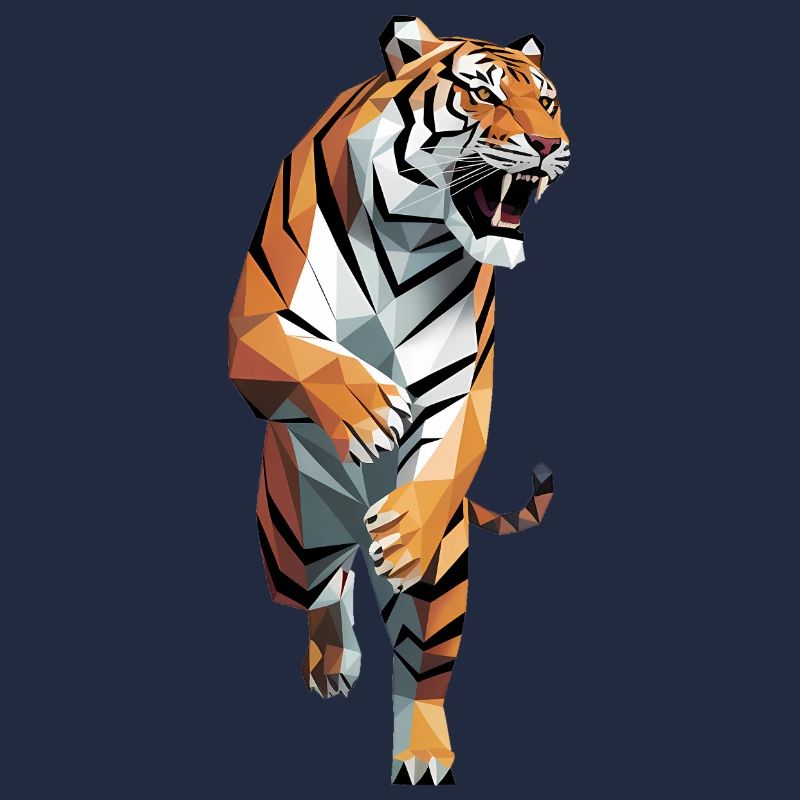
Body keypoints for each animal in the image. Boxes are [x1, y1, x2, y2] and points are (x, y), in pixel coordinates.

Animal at [227, 16, 569, 785]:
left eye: (547, 102)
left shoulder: (465, 379)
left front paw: (405, 527)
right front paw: (369, 412)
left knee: (423, 667)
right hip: (290, 544)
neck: (413, 236)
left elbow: (453, 438)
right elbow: (303, 358)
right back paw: (332, 662)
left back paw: (423, 755)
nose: (548, 145)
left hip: (446, 572)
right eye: (483, 94)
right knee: (323, 590)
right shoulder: (253, 324)